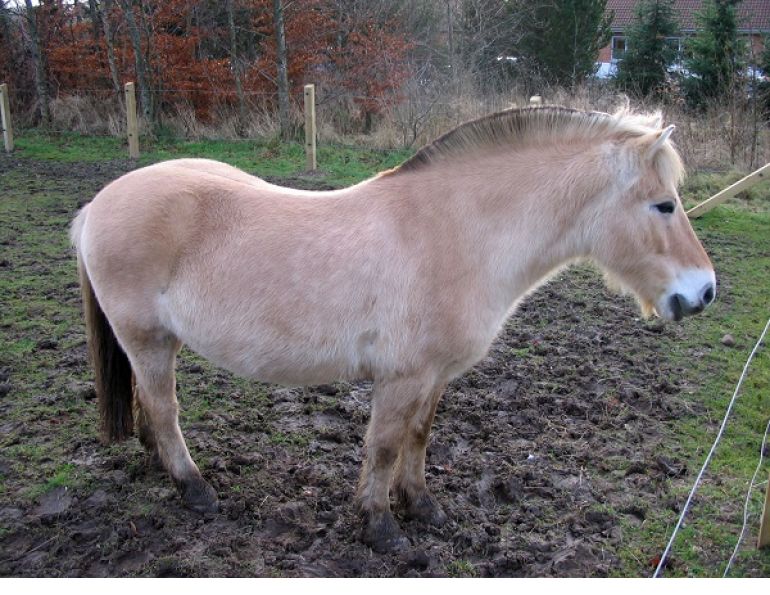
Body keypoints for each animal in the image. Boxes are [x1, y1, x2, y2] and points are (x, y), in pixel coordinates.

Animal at [70, 106, 716, 553]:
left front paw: (422, 507)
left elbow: (418, 438)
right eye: (663, 205)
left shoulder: (434, 376)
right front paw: (381, 528)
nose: (703, 291)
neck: (454, 232)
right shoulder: (400, 376)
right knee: (164, 409)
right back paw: (195, 489)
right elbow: (383, 446)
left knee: (149, 406)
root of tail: (98, 204)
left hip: (155, 342)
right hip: (147, 339)